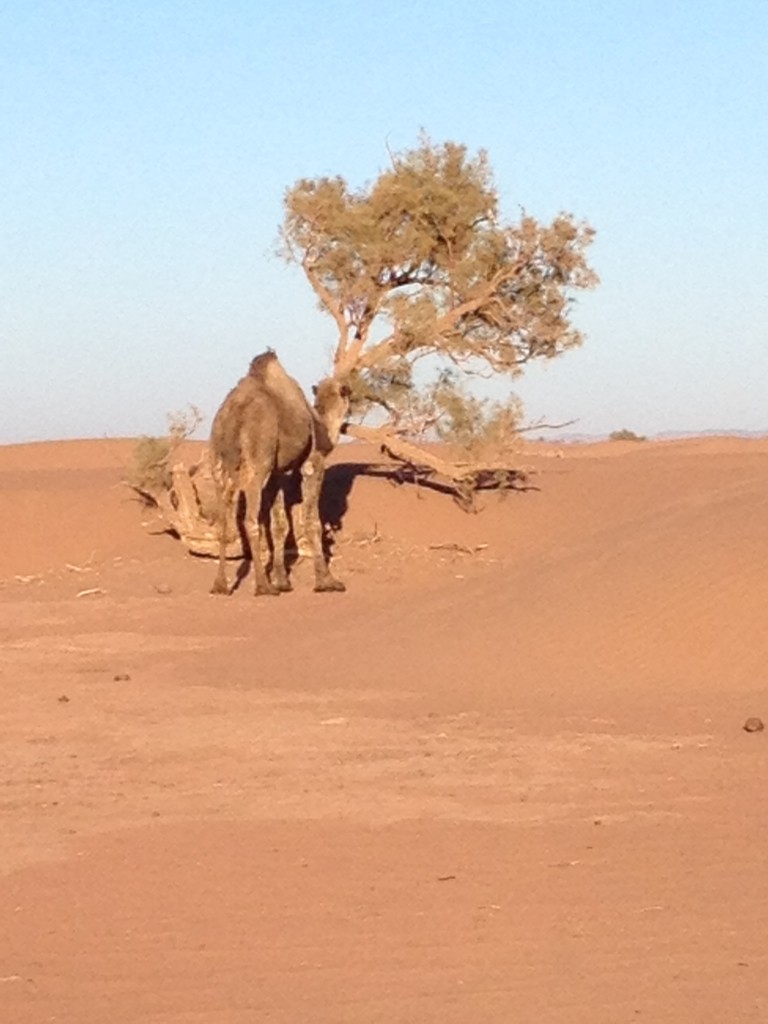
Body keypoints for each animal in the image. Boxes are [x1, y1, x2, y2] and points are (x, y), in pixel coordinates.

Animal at [214, 350, 352, 598]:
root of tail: (234, 413)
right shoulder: (312, 464)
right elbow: (313, 521)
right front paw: (327, 581)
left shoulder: (278, 473)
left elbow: (279, 525)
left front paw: (282, 581)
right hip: (258, 459)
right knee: (250, 519)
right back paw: (263, 586)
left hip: (219, 460)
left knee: (223, 521)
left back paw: (220, 586)